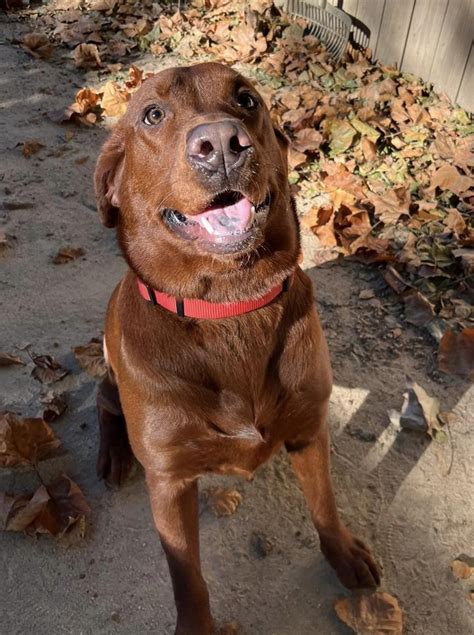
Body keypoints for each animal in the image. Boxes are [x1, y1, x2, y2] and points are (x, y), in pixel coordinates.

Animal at [94, 62, 380, 632]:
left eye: (246, 99)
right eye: (152, 114)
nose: (221, 144)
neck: (229, 305)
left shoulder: (309, 427)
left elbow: (325, 503)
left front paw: (343, 553)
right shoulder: (170, 482)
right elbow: (187, 577)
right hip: (111, 375)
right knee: (102, 403)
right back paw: (113, 452)